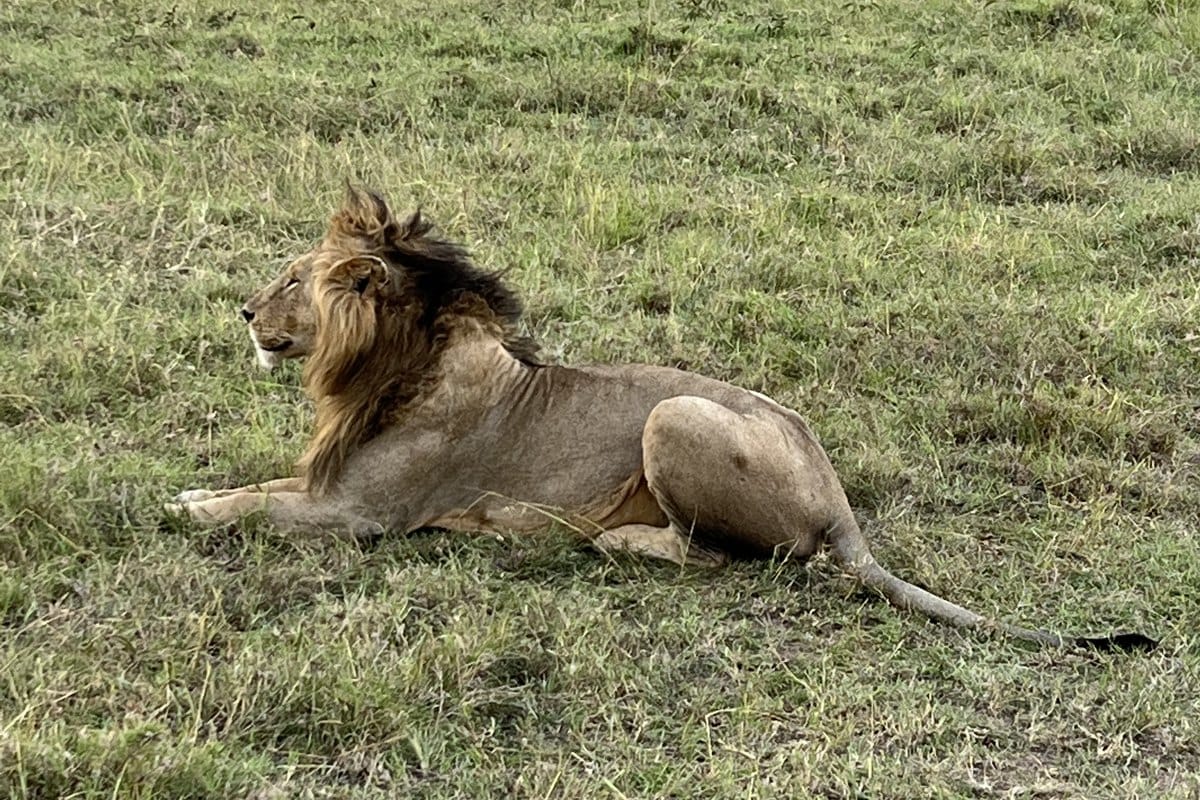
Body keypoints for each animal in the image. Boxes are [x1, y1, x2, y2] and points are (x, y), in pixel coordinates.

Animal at [170, 186, 1154, 651]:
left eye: (292, 280)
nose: (244, 313)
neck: (390, 366)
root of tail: (842, 505)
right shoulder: (331, 486)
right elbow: (254, 485)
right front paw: (187, 492)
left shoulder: (360, 514)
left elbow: (252, 505)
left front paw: (178, 510)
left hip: (676, 417)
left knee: (724, 560)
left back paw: (611, 541)